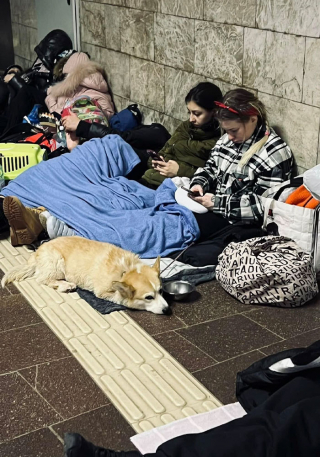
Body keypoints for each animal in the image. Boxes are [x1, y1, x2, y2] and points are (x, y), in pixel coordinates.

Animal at [1, 235, 171, 314]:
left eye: (161, 291)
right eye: (148, 297)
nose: (167, 310)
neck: (125, 270)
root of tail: (36, 253)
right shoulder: (103, 292)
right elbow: (120, 298)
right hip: (56, 261)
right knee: (44, 279)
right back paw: (65, 285)